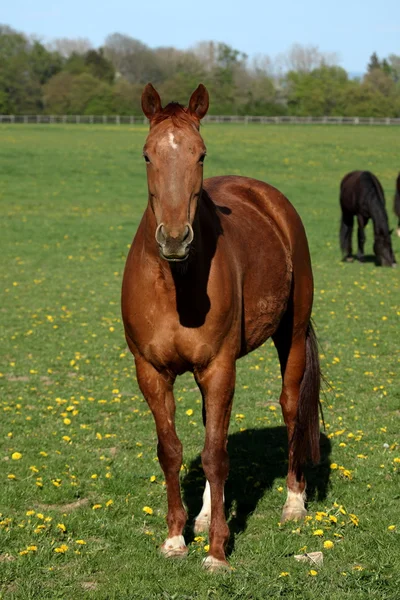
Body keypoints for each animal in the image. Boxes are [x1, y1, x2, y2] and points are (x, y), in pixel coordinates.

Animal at [122, 84, 322, 572]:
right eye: (147, 154)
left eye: (201, 154)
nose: (175, 238)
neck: (175, 284)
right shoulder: (151, 372)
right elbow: (172, 451)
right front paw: (176, 538)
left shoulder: (219, 367)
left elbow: (215, 455)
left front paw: (216, 552)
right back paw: (202, 515)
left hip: (290, 335)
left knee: (290, 408)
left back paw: (293, 502)